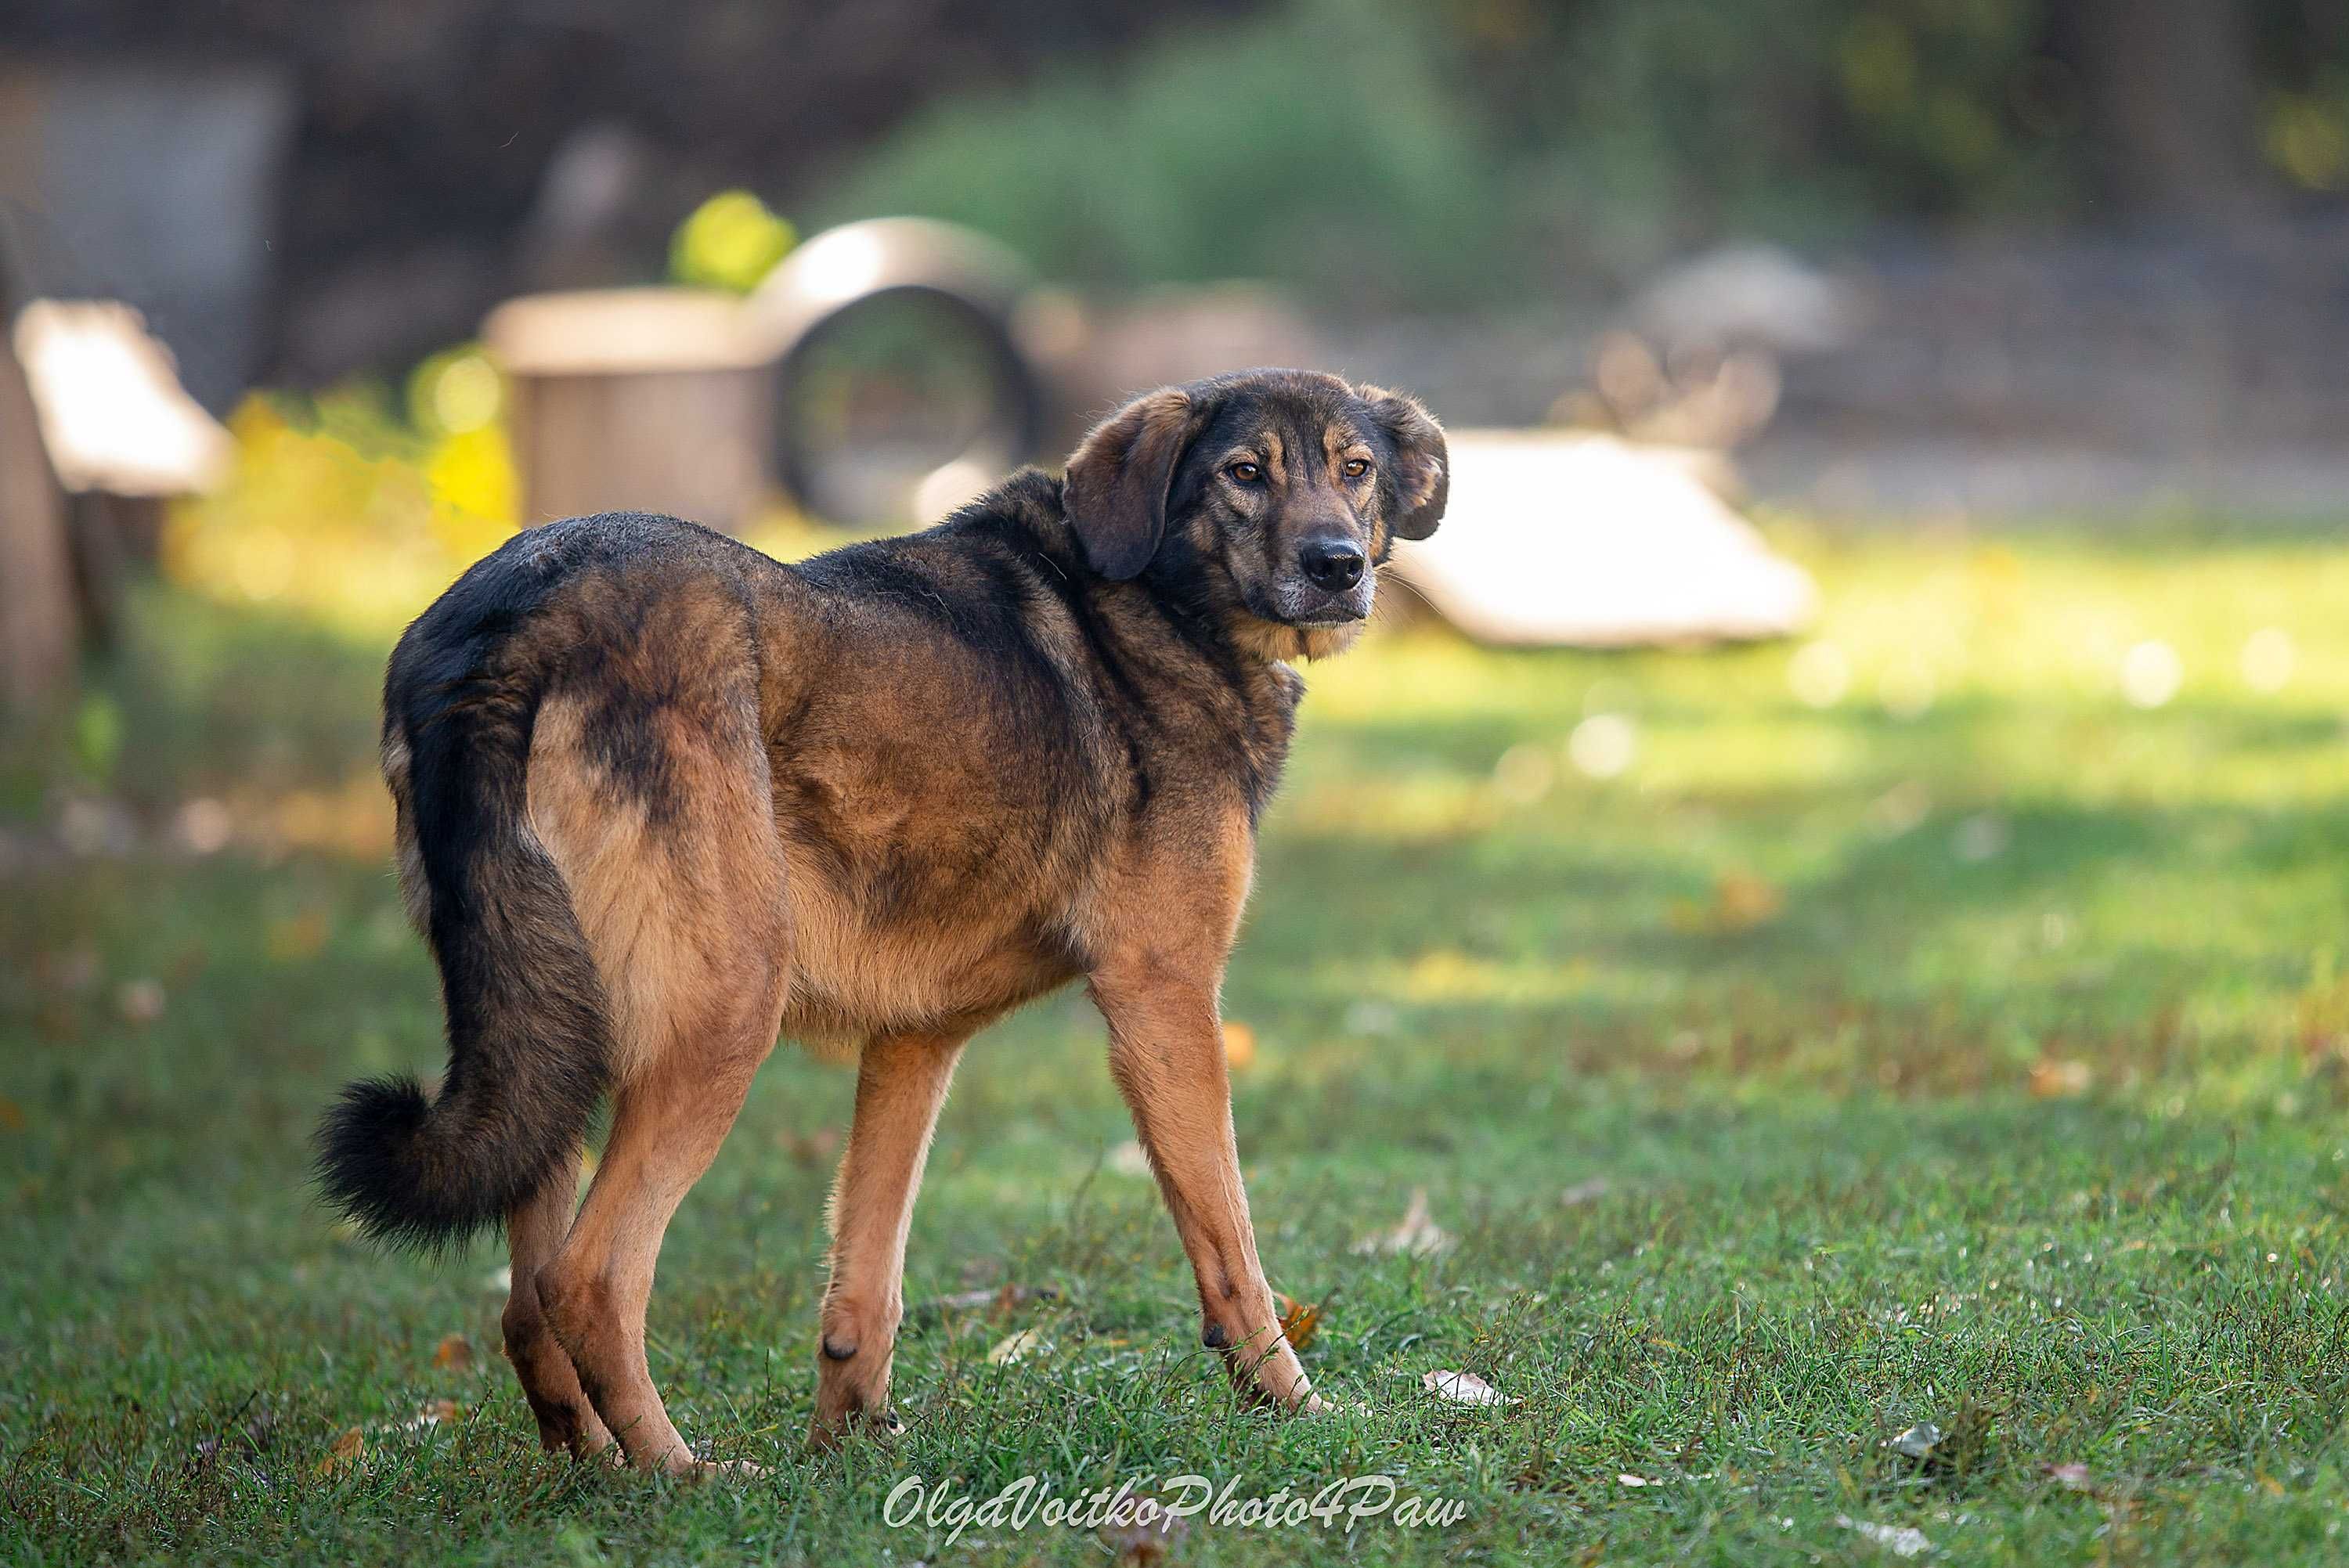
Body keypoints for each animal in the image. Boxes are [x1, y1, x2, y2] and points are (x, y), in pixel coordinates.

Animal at [312, 363, 1447, 1474]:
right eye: (1244, 472)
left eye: (1355, 468)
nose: (1340, 564)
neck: (1158, 606)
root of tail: (513, 609)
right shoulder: (1163, 998)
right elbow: (1235, 1249)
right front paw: (1298, 1407)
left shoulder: (915, 1040)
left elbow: (868, 1279)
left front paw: (851, 1445)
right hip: (721, 1013)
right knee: (587, 1278)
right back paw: (683, 1474)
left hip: (551, 1034)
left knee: (523, 1304)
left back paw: (597, 1464)